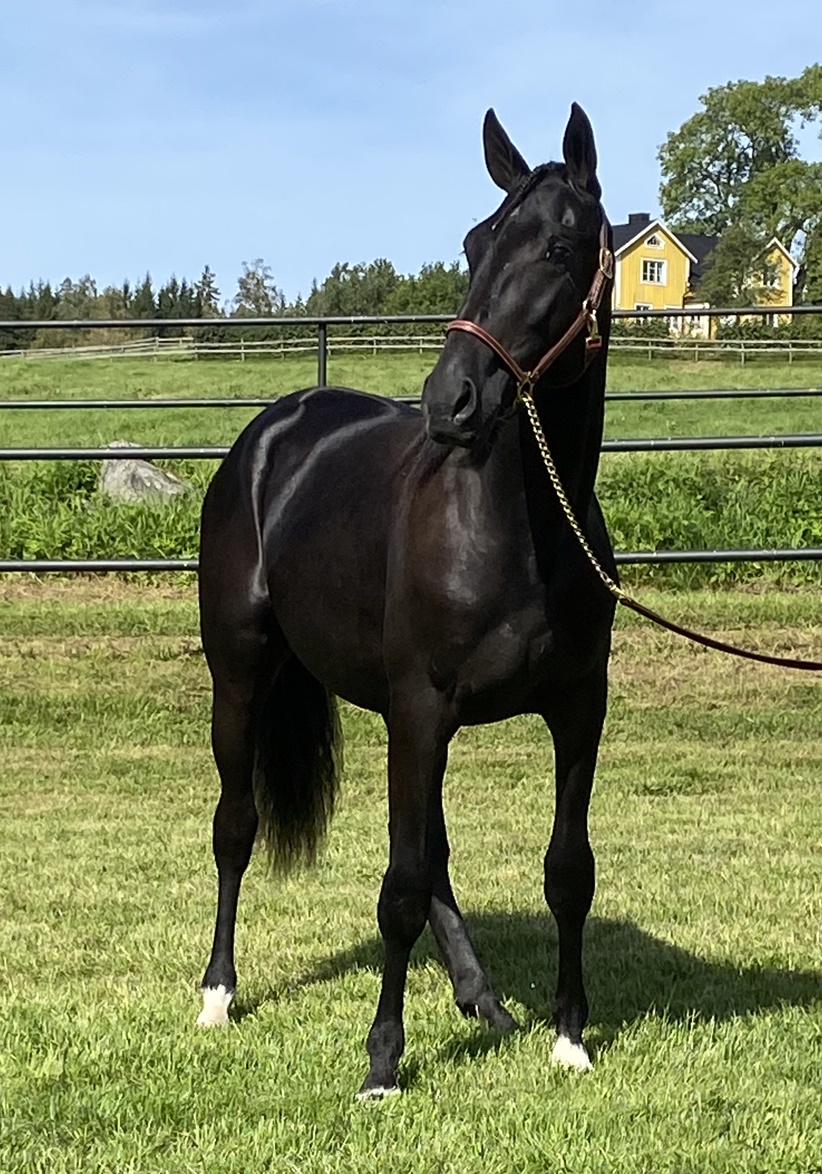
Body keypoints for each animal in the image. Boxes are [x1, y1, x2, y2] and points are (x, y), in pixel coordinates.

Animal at [196, 105, 615, 1094]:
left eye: (560, 245)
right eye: (474, 242)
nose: (450, 399)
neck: (519, 532)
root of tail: (271, 434)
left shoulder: (577, 709)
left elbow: (565, 869)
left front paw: (570, 1036)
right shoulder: (422, 711)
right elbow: (398, 886)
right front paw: (383, 1060)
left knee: (436, 861)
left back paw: (483, 998)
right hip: (242, 677)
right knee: (238, 826)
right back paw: (218, 993)